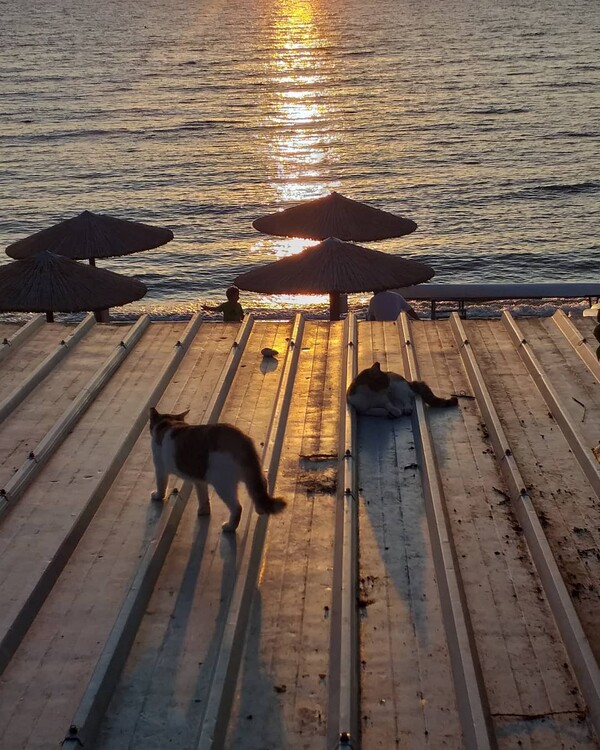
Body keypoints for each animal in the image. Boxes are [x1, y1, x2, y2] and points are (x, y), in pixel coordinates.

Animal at [146, 412, 284, 536]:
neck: (168, 423)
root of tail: (241, 439)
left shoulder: (160, 468)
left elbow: (161, 486)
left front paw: (157, 496)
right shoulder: (199, 480)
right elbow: (203, 497)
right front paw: (204, 511)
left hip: (222, 484)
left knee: (237, 507)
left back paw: (229, 527)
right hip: (250, 474)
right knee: (261, 486)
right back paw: (260, 508)